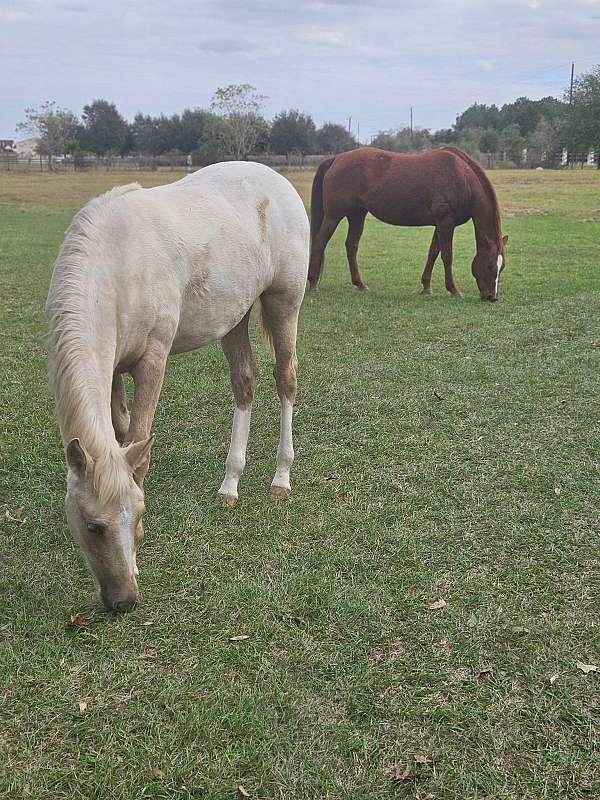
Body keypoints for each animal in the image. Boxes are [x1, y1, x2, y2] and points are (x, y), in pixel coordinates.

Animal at [45, 162, 310, 612]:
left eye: (138, 514)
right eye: (93, 526)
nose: (124, 600)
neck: (119, 265)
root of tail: (277, 179)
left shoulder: (152, 361)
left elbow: (139, 437)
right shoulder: (112, 368)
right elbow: (121, 433)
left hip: (283, 302)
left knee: (285, 378)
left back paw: (280, 477)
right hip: (234, 314)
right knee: (244, 383)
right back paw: (230, 484)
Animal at [308, 145, 508, 302]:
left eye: (502, 267)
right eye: (490, 265)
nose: (492, 297)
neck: (461, 177)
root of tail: (337, 158)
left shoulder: (440, 224)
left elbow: (433, 253)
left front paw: (426, 287)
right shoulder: (445, 222)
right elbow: (447, 255)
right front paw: (454, 290)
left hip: (356, 215)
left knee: (351, 246)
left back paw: (360, 284)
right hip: (334, 216)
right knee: (319, 243)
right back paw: (312, 283)